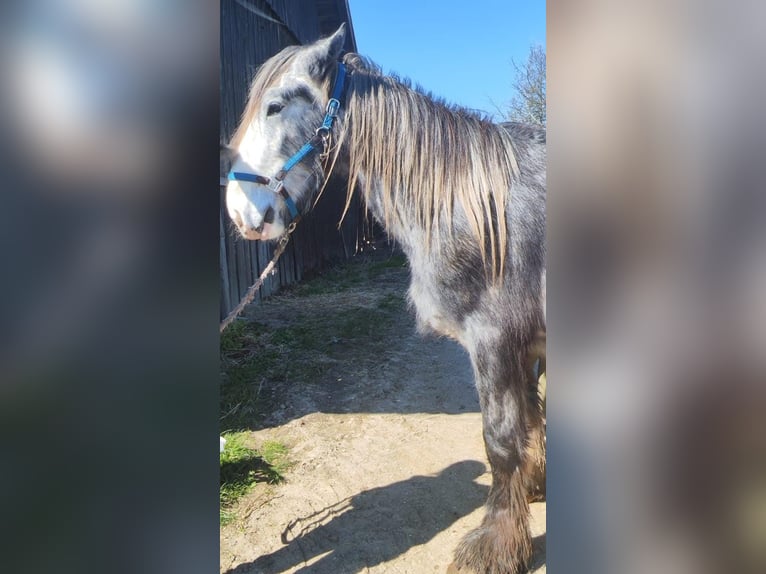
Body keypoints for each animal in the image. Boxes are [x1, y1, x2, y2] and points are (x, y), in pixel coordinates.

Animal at [221, 24, 546, 574]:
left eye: (276, 106)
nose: (241, 212)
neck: (470, 203)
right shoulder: (524, 349)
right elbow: (530, 422)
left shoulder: (496, 341)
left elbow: (500, 441)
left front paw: (495, 546)